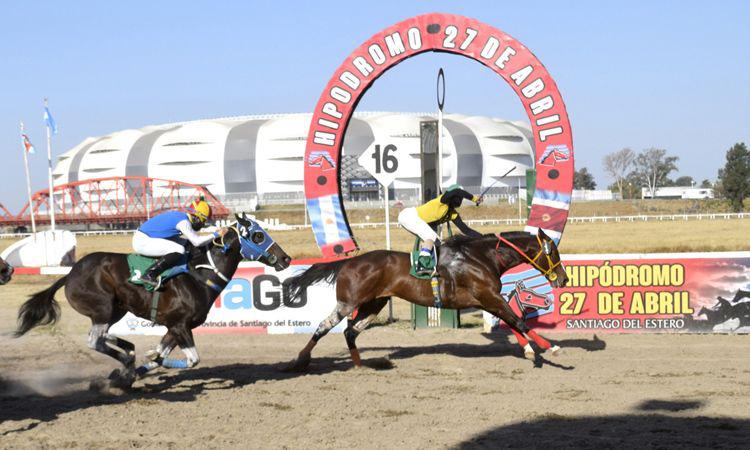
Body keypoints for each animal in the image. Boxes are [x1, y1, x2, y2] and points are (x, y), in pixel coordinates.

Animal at [15, 214, 290, 386]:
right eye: (257, 236)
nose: (286, 259)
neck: (200, 275)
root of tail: (70, 273)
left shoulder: (175, 328)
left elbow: (160, 356)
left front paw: (130, 373)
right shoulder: (180, 326)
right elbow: (191, 360)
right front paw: (138, 365)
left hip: (116, 310)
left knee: (102, 337)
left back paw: (126, 351)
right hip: (102, 308)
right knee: (95, 340)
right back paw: (125, 355)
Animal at [284, 229, 568, 370]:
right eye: (553, 252)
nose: (563, 279)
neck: (482, 258)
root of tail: (348, 262)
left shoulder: (487, 300)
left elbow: (512, 322)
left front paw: (530, 350)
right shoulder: (488, 296)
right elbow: (518, 321)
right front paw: (549, 347)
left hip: (373, 304)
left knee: (351, 332)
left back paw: (359, 365)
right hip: (349, 303)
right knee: (325, 326)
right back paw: (301, 358)